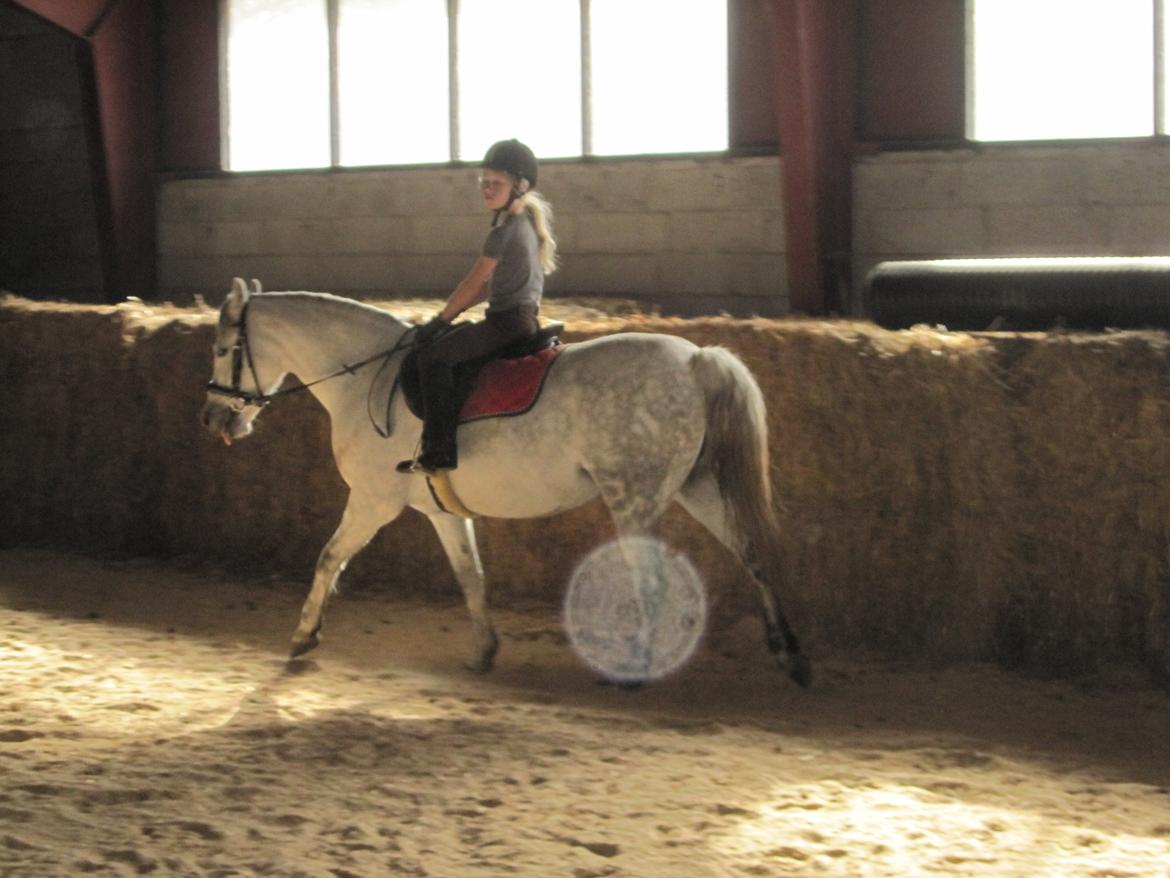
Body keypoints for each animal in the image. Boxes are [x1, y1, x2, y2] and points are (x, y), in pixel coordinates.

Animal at [200, 278, 811, 687]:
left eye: (223, 349)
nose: (213, 420)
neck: (365, 377)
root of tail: (694, 359)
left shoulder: (373, 501)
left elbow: (329, 558)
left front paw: (304, 637)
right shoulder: (442, 511)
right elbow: (471, 576)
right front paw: (483, 651)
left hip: (634, 499)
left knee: (653, 581)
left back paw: (634, 669)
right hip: (699, 487)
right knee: (751, 553)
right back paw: (788, 653)